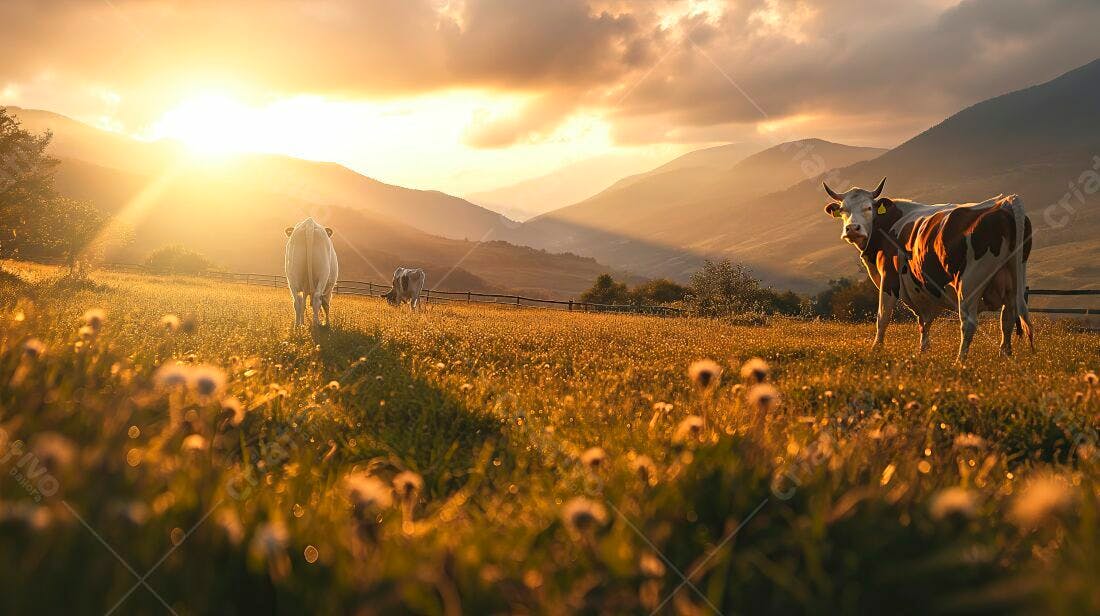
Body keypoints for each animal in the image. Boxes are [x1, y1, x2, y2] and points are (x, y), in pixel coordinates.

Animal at [823, 179, 1033, 363]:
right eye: (843, 210)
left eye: (868, 208)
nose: (852, 228)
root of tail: (1004, 202)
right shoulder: (921, 289)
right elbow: (925, 321)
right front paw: (923, 351)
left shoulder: (889, 277)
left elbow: (883, 317)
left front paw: (876, 350)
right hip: (1014, 279)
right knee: (1008, 318)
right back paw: (1004, 356)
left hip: (970, 282)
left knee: (969, 322)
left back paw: (960, 361)